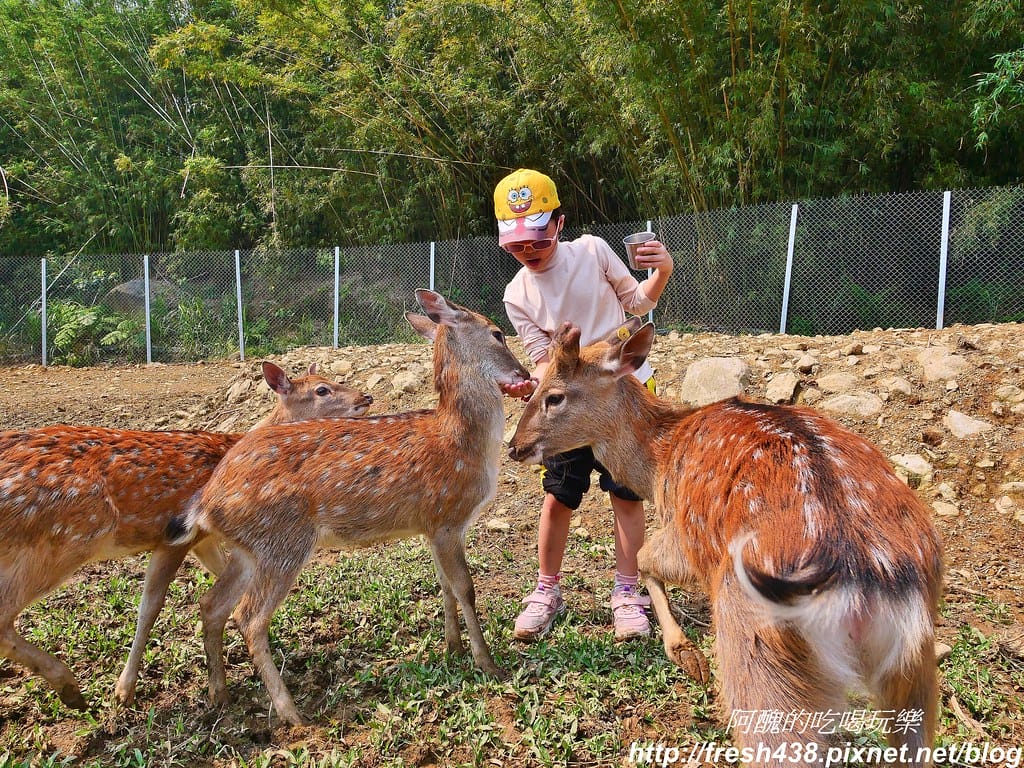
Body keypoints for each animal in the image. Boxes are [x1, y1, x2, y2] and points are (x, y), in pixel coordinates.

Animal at [0, 361, 372, 710]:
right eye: (322, 390)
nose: (365, 397)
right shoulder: (174, 537)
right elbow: (150, 607)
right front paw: (124, 691)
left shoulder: (205, 539)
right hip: (64, 539)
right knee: (4, 616)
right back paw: (70, 689)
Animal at [165, 289, 531, 725]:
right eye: (497, 333)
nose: (524, 374)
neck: (461, 443)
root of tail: (206, 500)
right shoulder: (447, 516)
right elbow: (466, 588)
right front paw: (488, 664)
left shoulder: (432, 526)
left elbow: (445, 585)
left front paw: (453, 649)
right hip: (283, 541)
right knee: (248, 617)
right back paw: (292, 714)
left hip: (248, 549)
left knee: (212, 605)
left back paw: (220, 695)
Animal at [508, 320, 944, 767]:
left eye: (554, 395)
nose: (513, 445)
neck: (660, 461)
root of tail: (865, 581)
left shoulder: (688, 536)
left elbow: (644, 557)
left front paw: (684, 653)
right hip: (915, 666)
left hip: (753, 641)